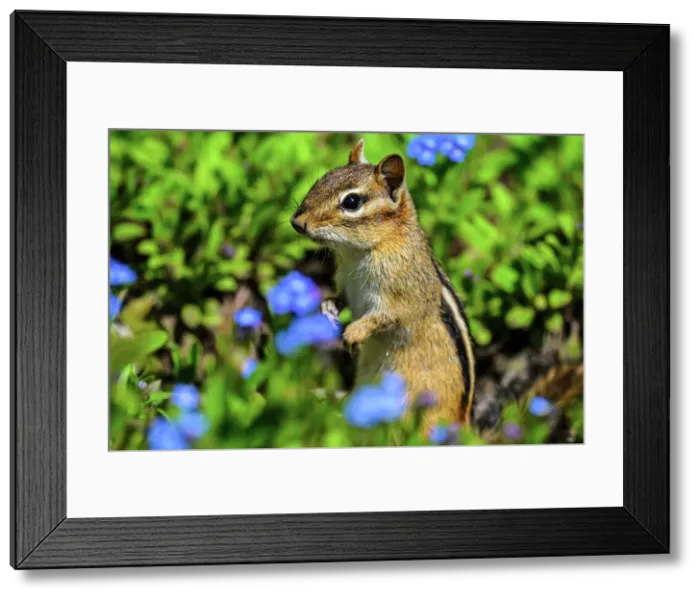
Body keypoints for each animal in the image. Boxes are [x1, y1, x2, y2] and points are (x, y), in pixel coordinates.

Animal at [291, 138, 477, 434]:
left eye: (352, 201)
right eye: (321, 180)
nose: (296, 223)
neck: (359, 252)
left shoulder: (403, 297)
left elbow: (386, 316)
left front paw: (353, 334)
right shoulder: (345, 282)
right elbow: (340, 298)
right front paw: (327, 309)